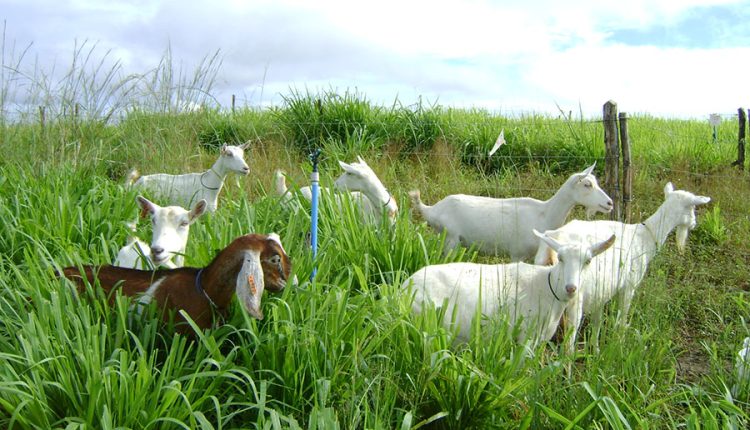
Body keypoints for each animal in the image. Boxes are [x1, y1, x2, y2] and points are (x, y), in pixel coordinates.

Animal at [406, 228, 616, 346]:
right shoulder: (526, 338)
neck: (545, 287)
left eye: (588, 261)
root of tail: (405, 286)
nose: (571, 288)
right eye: (561, 258)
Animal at [408, 164, 612, 258]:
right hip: (450, 239)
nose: (610, 203)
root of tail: (431, 209)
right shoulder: (516, 254)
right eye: (587, 184)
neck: (544, 213)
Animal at [536, 181, 712, 352]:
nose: (694, 224)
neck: (645, 237)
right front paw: (619, 343)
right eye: (693, 207)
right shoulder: (629, 285)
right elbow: (622, 318)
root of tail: (553, 245)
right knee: (568, 340)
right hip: (573, 298)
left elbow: (597, 322)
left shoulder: (601, 291)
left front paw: (596, 349)